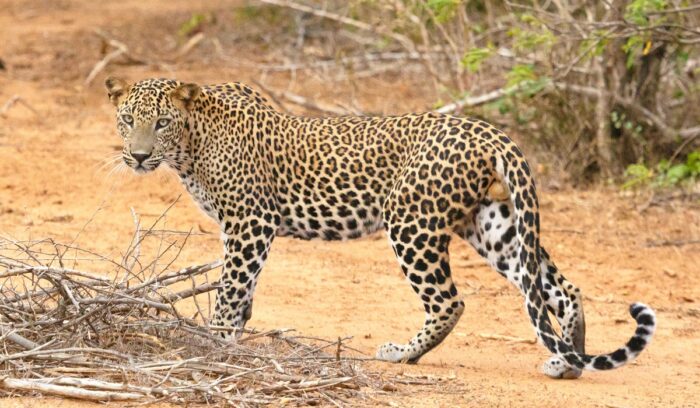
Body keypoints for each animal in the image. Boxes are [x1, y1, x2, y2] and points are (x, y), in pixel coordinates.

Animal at [105, 77, 656, 379]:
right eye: (127, 119)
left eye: (161, 123)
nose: (138, 156)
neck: (191, 144)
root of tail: (489, 130)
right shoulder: (245, 228)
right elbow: (242, 291)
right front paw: (232, 337)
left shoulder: (250, 222)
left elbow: (230, 288)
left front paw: (215, 342)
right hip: (492, 224)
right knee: (557, 289)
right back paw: (568, 361)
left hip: (410, 221)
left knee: (450, 301)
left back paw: (401, 355)